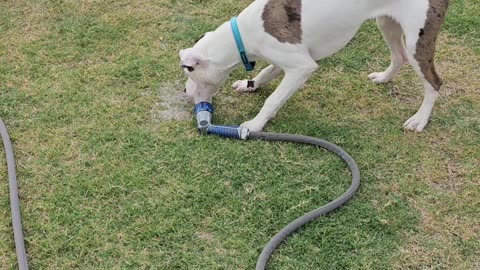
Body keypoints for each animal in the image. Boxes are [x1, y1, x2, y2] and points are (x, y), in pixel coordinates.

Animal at [178, 0, 448, 132]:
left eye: (189, 71)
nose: (184, 91)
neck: (241, 36)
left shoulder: (301, 67)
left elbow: (272, 100)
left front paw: (255, 124)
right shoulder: (287, 60)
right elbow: (265, 72)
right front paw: (249, 84)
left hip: (418, 41)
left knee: (434, 82)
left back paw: (420, 120)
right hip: (387, 23)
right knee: (399, 56)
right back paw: (384, 77)